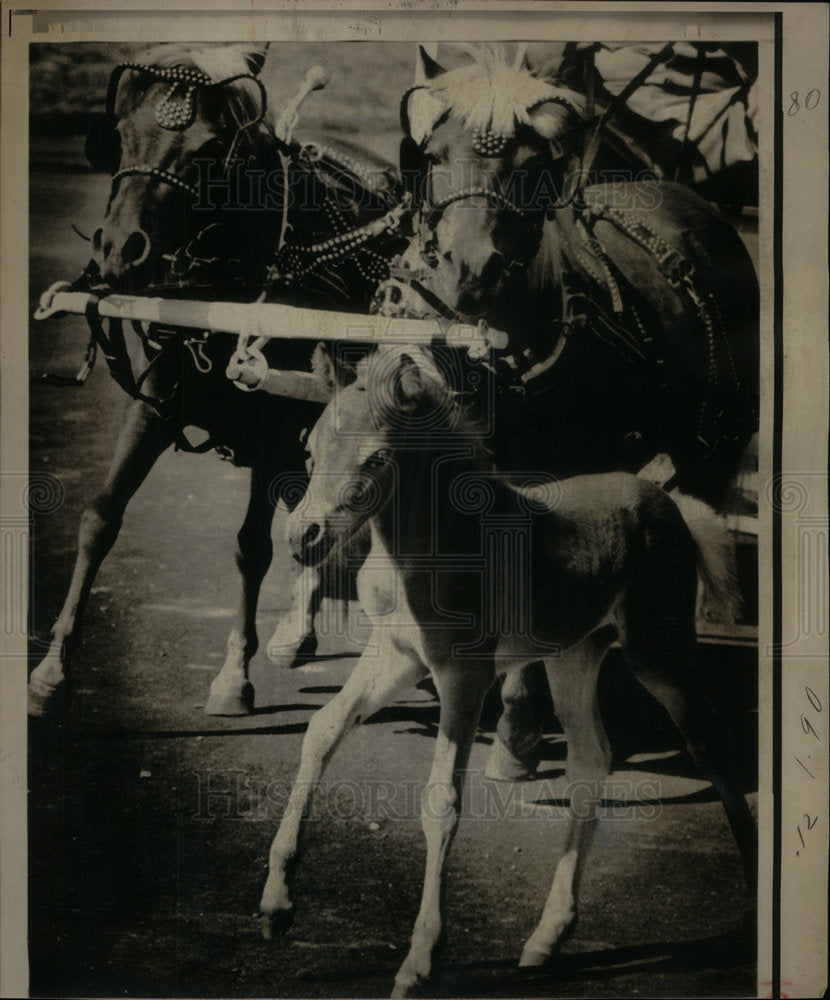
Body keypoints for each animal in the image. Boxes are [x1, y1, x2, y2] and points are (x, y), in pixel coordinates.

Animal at [29, 45, 410, 720]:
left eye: (208, 149)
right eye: (121, 135)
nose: (120, 249)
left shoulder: (275, 424)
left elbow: (253, 545)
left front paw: (235, 674)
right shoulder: (156, 404)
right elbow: (100, 516)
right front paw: (51, 669)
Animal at [260, 346, 760, 1000]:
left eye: (375, 459)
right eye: (310, 450)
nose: (303, 540)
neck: (429, 546)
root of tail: (671, 503)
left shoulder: (464, 675)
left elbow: (442, 800)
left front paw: (419, 961)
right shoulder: (396, 656)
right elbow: (321, 730)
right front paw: (276, 904)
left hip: (659, 651)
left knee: (711, 742)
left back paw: (755, 908)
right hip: (574, 656)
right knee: (590, 758)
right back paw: (547, 937)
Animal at [374, 47, 764, 776]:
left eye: (529, 168)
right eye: (432, 156)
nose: (470, 269)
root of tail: (687, 199)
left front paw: (517, 731)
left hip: (712, 444)